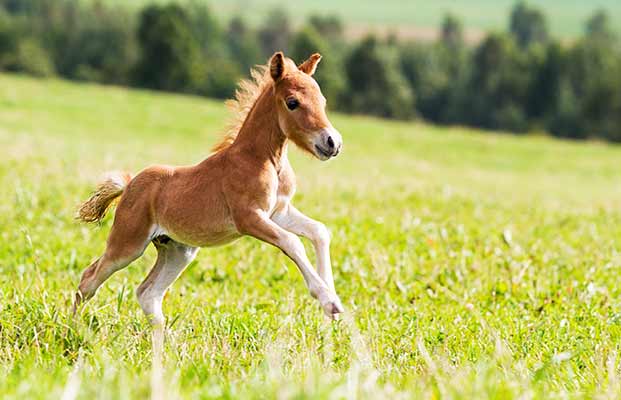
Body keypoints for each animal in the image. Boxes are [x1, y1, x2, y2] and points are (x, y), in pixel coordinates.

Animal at [74, 51, 344, 324]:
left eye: (322, 101)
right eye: (292, 102)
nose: (332, 143)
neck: (265, 159)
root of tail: (129, 184)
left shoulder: (279, 212)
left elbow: (319, 231)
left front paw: (331, 298)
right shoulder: (248, 217)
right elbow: (292, 242)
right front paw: (329, 301)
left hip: (178, 250)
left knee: (147, 293)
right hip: (128, 244)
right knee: (89, 279)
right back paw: (74, 327)